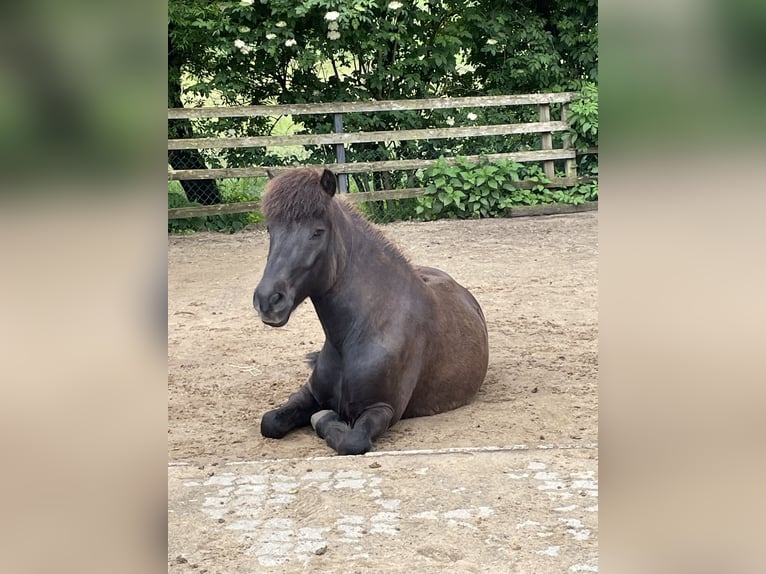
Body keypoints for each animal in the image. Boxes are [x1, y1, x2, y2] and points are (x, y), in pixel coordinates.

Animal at [254, 168, 489, 455]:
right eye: (270, 229)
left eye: (317, 232)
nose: (268, 300)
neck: (357, 334)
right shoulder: (309, 393)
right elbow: (270, 422)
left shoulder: (382, 410)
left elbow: (351, 441)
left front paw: (324, 417)